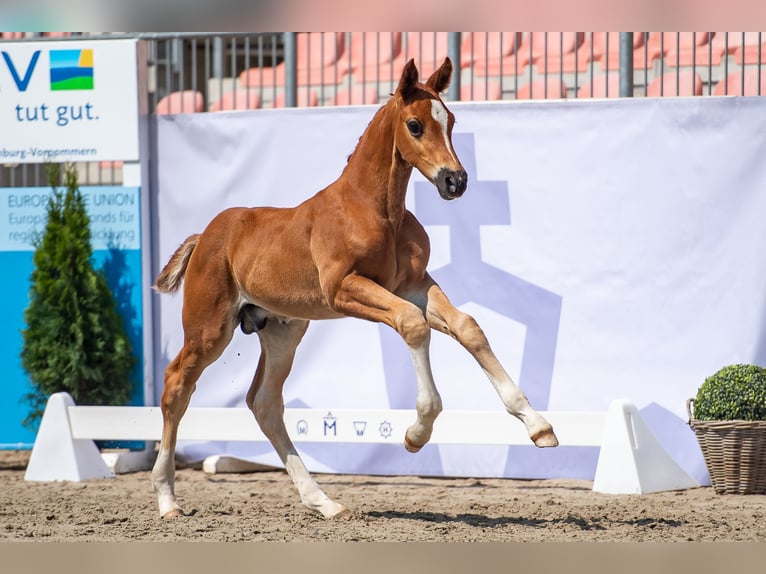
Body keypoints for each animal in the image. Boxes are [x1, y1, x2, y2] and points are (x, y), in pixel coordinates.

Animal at [153, 59, 560, 520]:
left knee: (265, 403)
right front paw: (417, 433)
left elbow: (467, 326)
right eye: (415, 125)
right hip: (209, 329)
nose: (455, 181)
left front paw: (538, 425)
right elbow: (412, 325)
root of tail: (205, 234)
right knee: (176, 387)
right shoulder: (344, 289)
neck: (376, 211)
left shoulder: (415, 284)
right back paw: (167, 500)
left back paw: (323, 502)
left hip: (282, 331)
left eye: (451, 121)